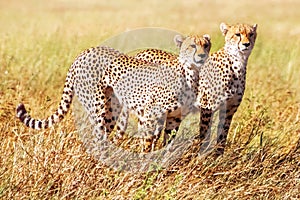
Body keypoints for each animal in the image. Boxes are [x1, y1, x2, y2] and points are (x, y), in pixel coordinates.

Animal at [15, 33, 211, 152]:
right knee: (97, 137)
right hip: (98, 107)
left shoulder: (173, 117)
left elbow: (167, 142)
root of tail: (84, 52)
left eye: (206, 45)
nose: (202, 56)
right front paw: (146, 163)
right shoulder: (150, 115)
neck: (190, 73)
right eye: (192, 46)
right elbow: (148, 142)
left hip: (112, 110)